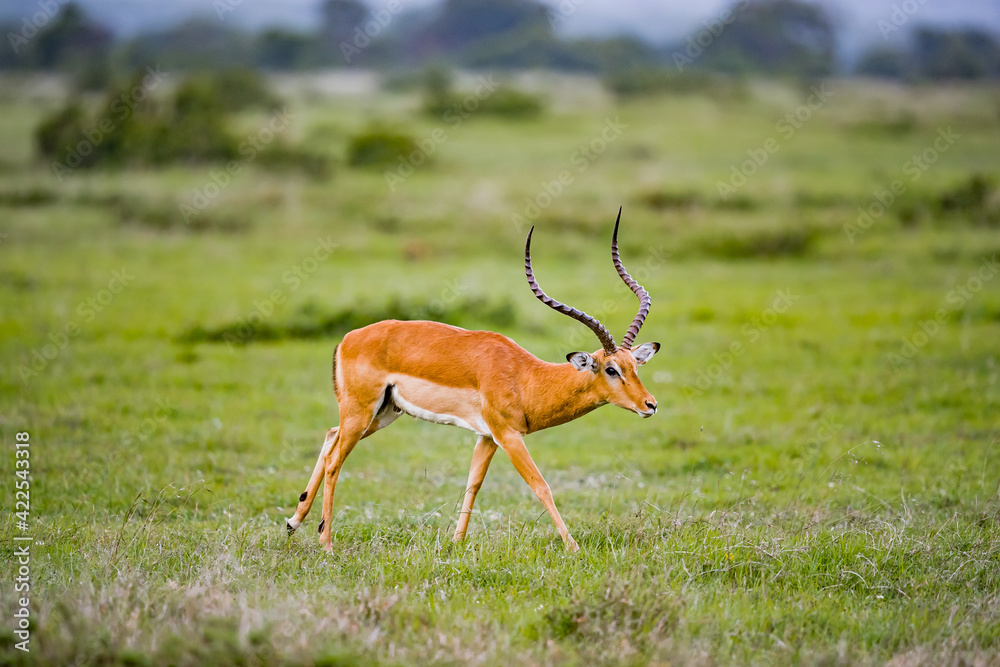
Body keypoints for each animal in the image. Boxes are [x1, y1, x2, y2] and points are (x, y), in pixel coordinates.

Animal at [286, 208, 660, 552]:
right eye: (611, 369)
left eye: (634, 366)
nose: (650, 405)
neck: (525, 376)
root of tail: (347, 339)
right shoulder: (508, 435)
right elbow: (541, 485)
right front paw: (573, 548)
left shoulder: (487, 436)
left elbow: (473, 484)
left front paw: (456, 543)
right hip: (362, 412)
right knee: (335, 462)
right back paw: (326, 543)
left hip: (382, 413)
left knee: (330, 435)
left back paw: (293, 522)